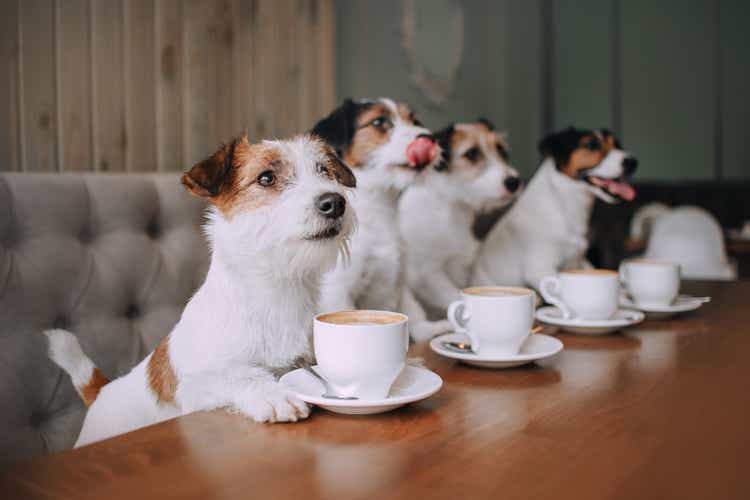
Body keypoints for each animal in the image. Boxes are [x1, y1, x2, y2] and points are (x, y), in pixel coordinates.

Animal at [44, 133, 358, 446]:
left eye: (325, 171)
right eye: (267, 177)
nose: (335, 202)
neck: (279, 289)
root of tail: (102, 391)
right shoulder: (193, 388)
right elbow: (235, 375)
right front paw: (273, 393)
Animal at [310, 95, 452, 342]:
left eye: (414, 120)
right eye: (378, 122)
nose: (429, 138)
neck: (378, 211)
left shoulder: (399, 281)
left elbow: (412, 309)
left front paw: (427, 329)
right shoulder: (338, 291)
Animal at [402, 119, 520, 318]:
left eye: (501, 150)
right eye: (471, 153)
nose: (514, 182)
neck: (451, 209)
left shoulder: (470, 265)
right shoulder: (427, 274)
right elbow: (455, 296)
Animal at [472, 126, 636, 292]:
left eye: (617, 144)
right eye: (591, 145)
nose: (632, 162)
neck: (564, 205)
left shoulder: (579, 261)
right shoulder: (540, 269)